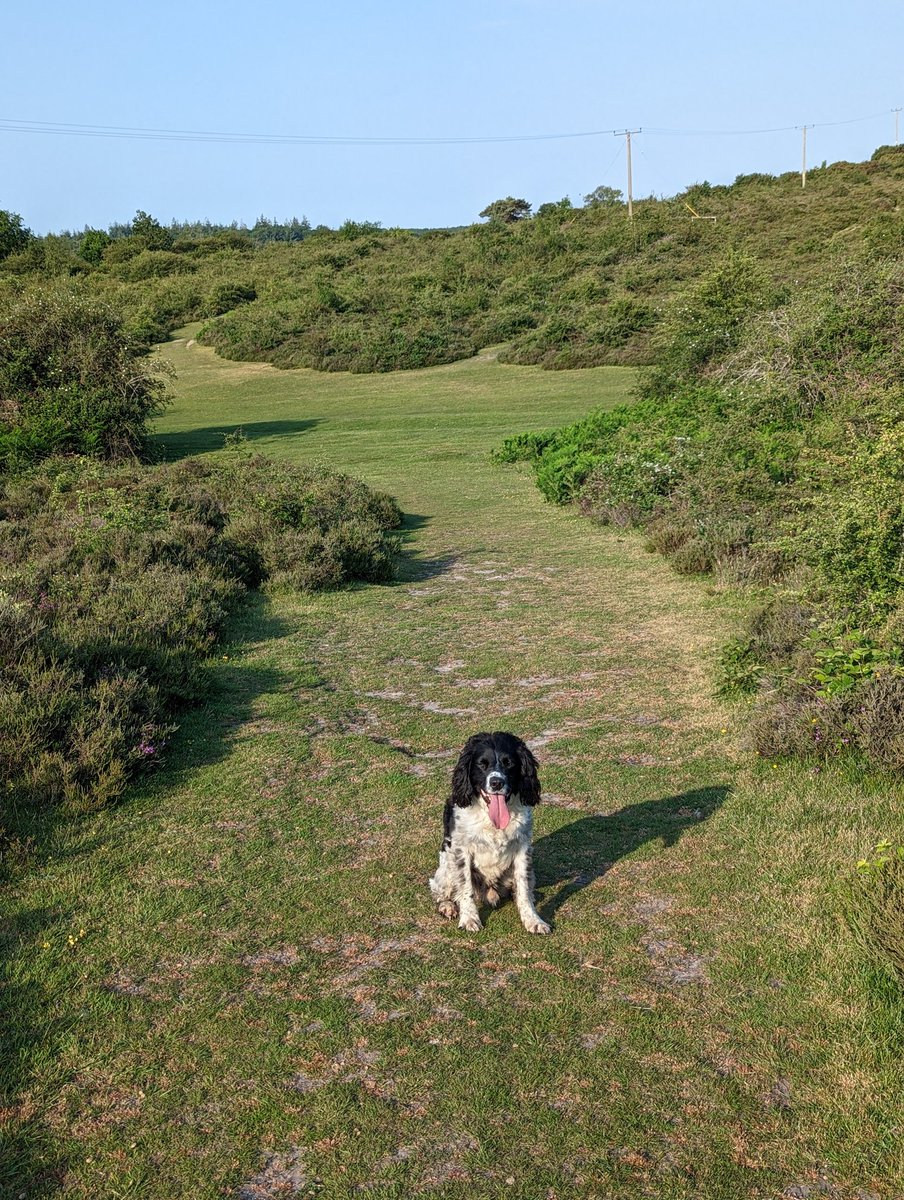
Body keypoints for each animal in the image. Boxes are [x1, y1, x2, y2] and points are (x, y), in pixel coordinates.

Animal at [429, 729, 549, 936]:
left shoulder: (522, 848)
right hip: (446, 867)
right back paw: (448, 906)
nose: (496, 783)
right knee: (441, 892)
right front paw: (469, 919)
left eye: (509, 763)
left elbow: (524, 889)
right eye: (481, 764)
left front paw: (532, 920)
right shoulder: (461, 850)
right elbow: (465, 888)